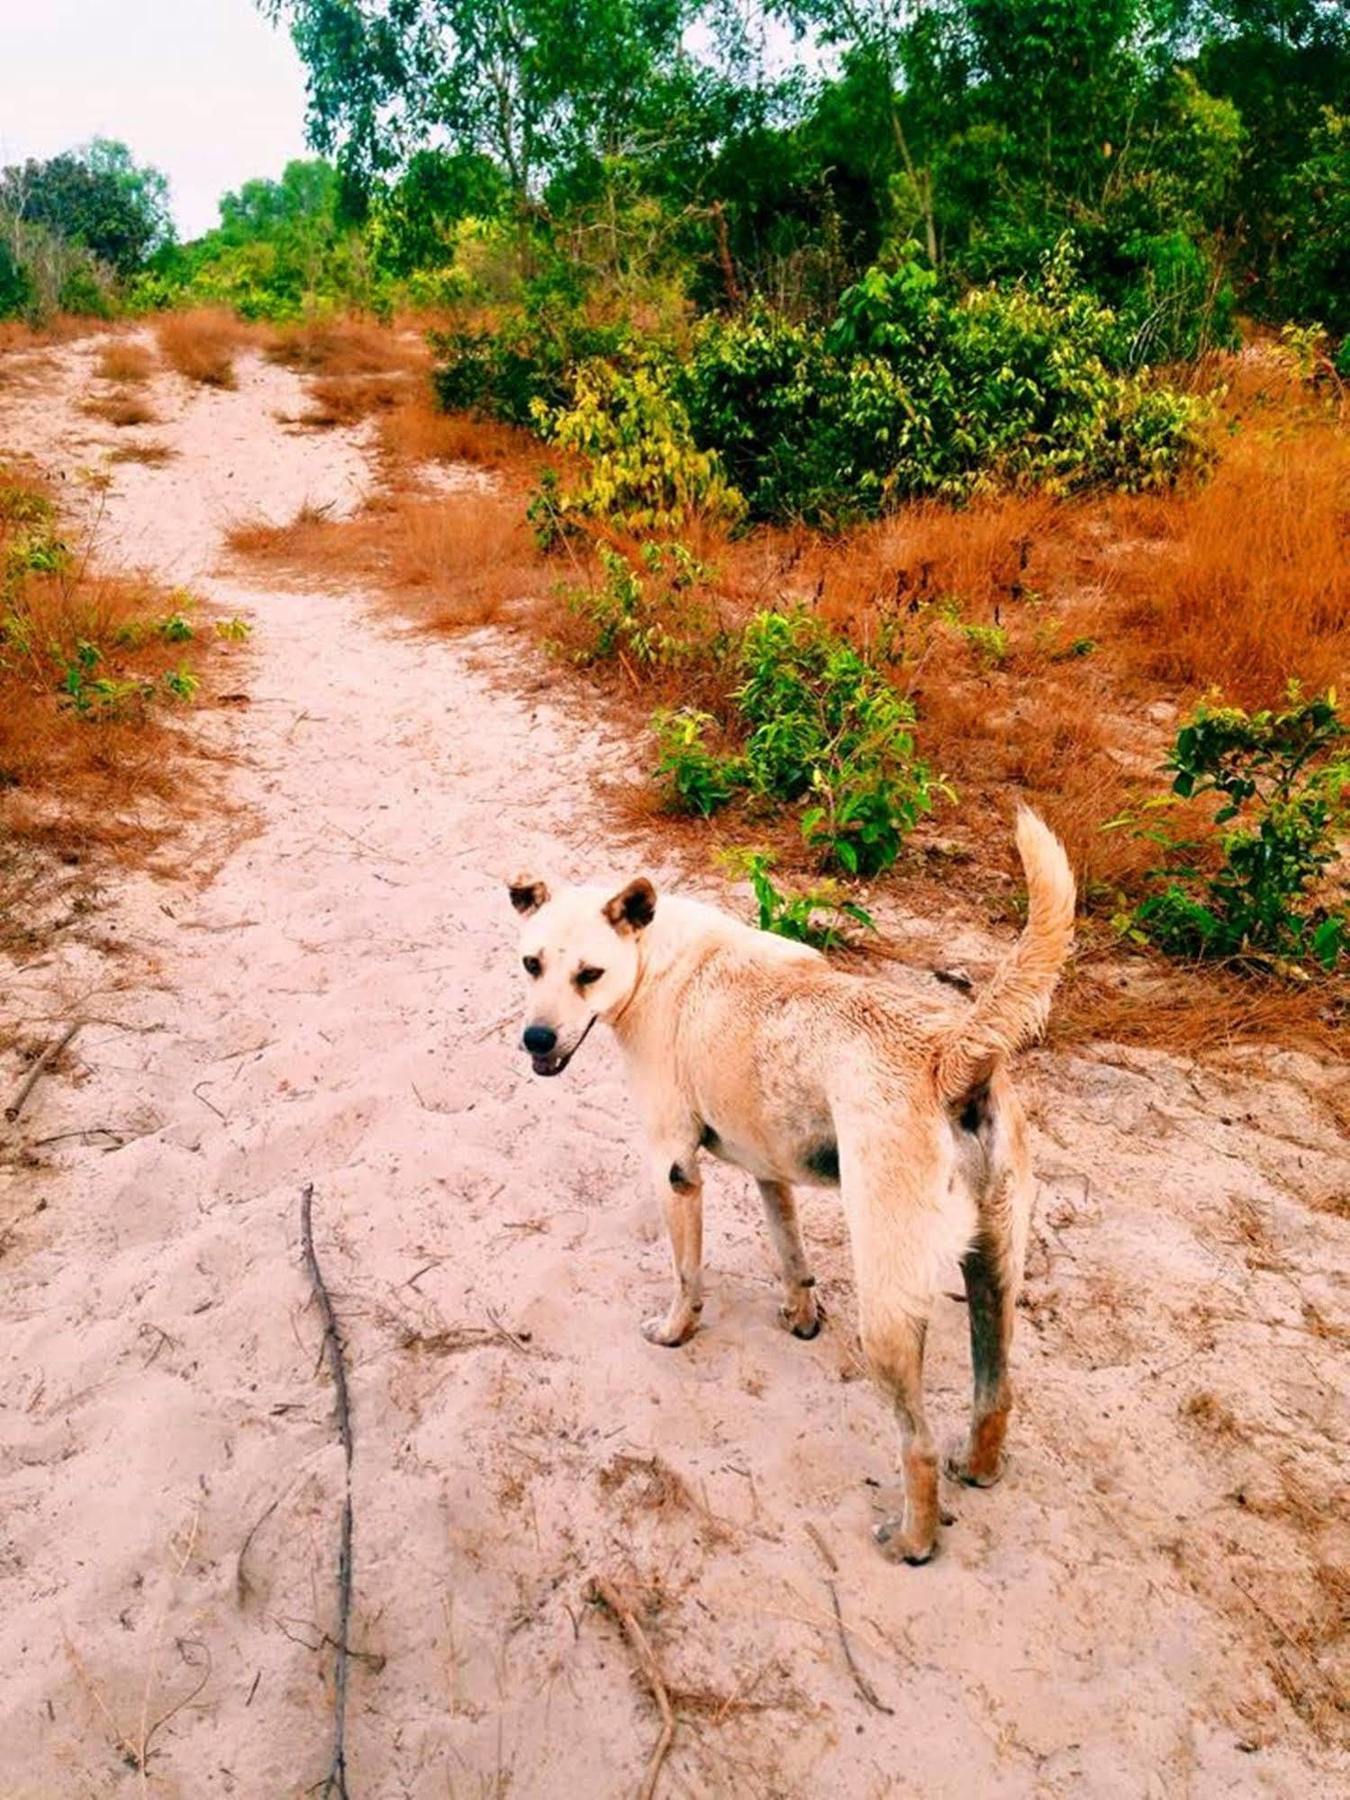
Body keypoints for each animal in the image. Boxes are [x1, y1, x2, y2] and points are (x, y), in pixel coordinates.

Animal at [511, 817, 1080, 1562]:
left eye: (589, 975)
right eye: (531, 965)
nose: (534, 1039)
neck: (655, 956)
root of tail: (953, 1057)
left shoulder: (674, 1170)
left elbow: (688, 1276)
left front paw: (674, 1332)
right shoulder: (768, 1168)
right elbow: (792, 1254)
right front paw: (802, 1318)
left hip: (888, 1314)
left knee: (918, 1446)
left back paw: (913, 1540)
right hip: (994, 1272)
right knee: (996, 1395)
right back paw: (979, 1469)